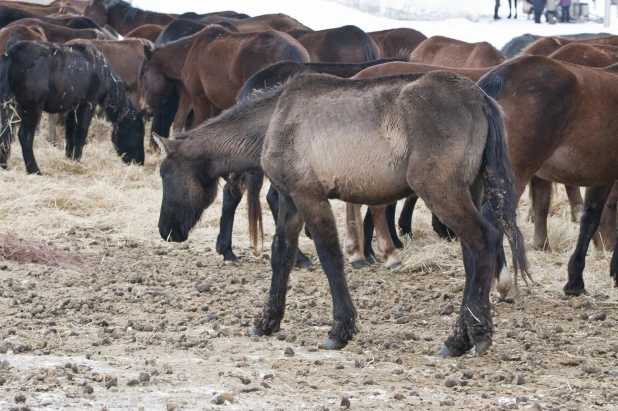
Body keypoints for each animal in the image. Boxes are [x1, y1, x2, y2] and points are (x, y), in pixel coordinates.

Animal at [0, 42, 143, 175]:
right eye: (136, 131)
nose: (140, 162)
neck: (101, 71)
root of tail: (12, 53)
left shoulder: (71, 109)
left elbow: (70, 132)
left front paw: (69, 157)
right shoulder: (87, 105)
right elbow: (81, 132)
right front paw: (78, 160)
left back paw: (4, 166)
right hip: (32, 109)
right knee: (25, 136)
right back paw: (34, 170)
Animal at [153, 71, 524, 358]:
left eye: (164, 174)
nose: (166, 229)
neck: (275, 119)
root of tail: (480, 99)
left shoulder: (310, 196)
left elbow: (330, 257)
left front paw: (340, 329)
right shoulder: (290, 199)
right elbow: (281, 255)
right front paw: (267, 321)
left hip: (440, 191)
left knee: (485, 241)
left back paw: (475, 334)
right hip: (467, 191)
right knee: (472, 257)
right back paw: (462, 337)